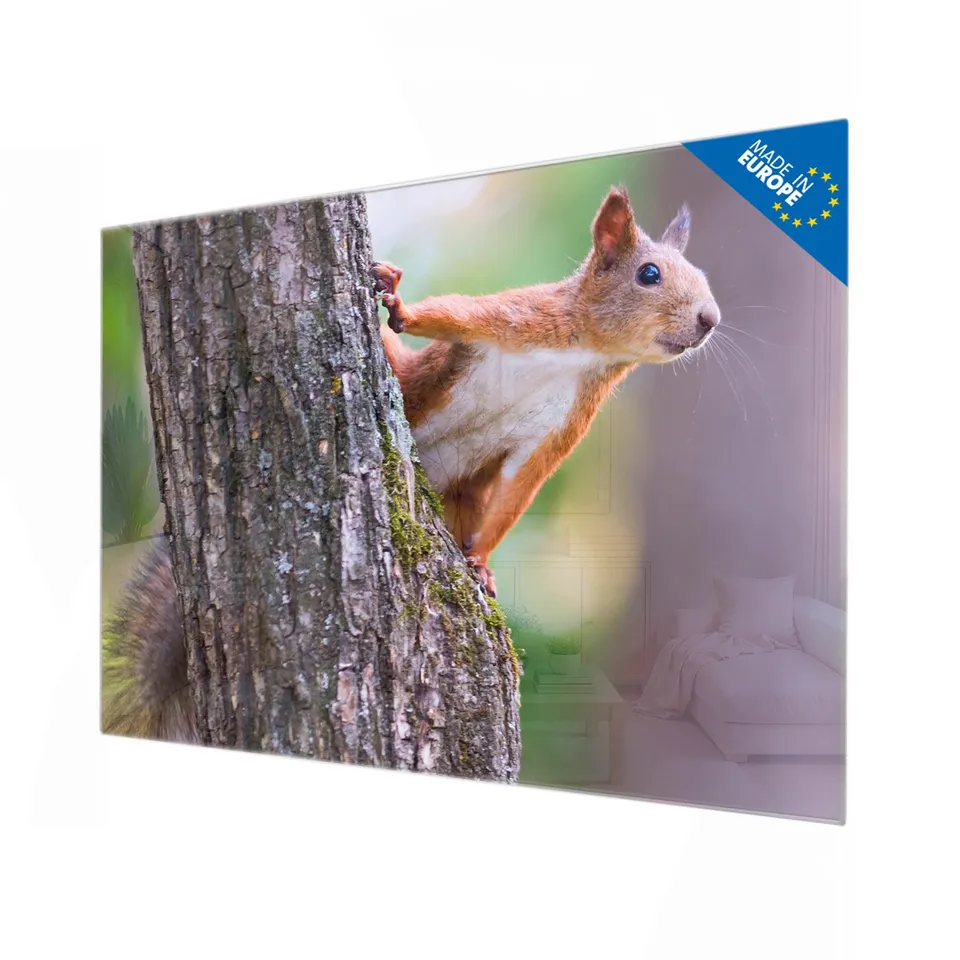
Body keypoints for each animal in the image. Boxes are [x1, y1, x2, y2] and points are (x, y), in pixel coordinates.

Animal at [102, 185, 719, 741]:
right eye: (648, 274)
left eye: (705, 279)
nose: (710, 319)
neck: (583, 353)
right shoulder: (516, 318)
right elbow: (449, 315)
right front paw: (397, 303)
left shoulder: (561, 428)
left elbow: (520, 489)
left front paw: (481, 563)